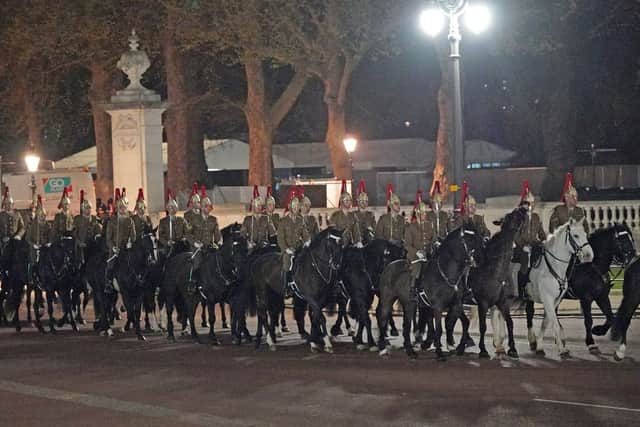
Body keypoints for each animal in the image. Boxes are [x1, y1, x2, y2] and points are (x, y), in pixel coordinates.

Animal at [376, 224, 484, 362]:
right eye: (470, 240)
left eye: (479, 238)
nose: (480, 260)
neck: (445, 273)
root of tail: (389, 266)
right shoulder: (438, 307)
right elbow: (439, 329)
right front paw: (440, 353)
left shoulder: (456, 304)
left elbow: (465, 323)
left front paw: (459, 348)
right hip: (387, 299)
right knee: (383, 318)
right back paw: (383, 348)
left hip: (409, 304)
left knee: (406, 326)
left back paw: (410, 351)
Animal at [496, 221, 596, 358]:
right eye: (575, 235)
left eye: (585, 234)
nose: (589, 255)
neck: (553, 266)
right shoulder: (547, 299)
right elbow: (554, 324)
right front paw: (561, 349)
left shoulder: (555, 301)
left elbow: (546, 322)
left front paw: (539, 347)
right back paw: (501, 345)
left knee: (501, 314)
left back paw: (501, 344)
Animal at [564, 222, 636, 352]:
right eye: (621, 239)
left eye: (631, 238)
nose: (633, 256)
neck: (593, 266)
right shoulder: (586, 299)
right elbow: (588, 321)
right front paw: (590, 342)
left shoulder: (602, 297)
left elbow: (610, 317)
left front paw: (598, 331)